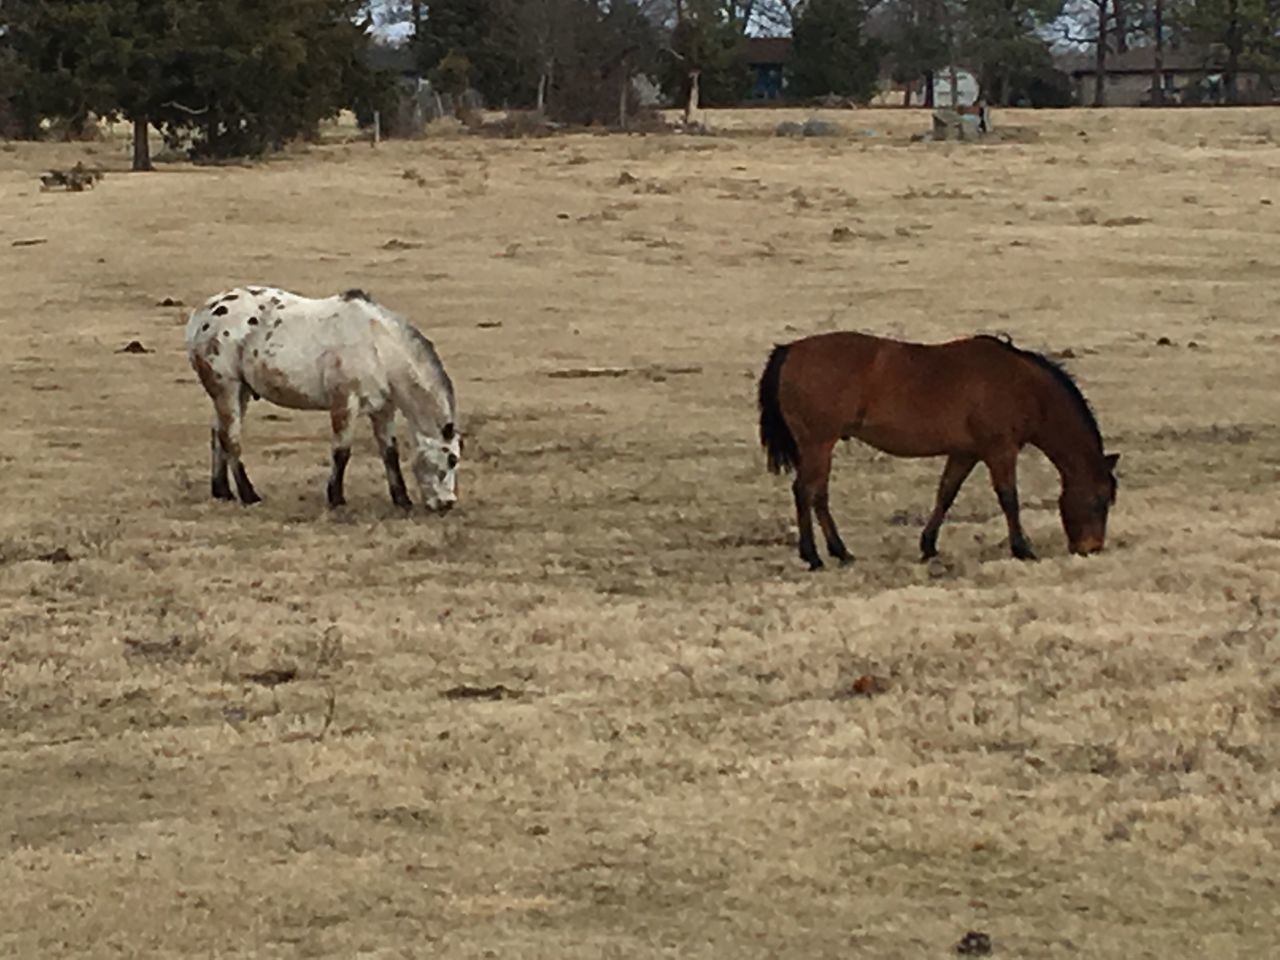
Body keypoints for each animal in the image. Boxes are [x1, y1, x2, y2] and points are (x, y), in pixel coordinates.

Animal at [180, 284, 460, 514]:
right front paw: (336, 499)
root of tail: (203, 313)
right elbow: (341, 451)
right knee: (231, 439)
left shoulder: (383, 409)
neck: (379, 346)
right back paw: (249, 496)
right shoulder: (344, 402)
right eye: (450, 460)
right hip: (226, 387)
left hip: (240, 391)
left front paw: (402, 500)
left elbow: (389, 452)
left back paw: (222, 492)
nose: (447, 504)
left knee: (219, 435)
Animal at [757, 332, 1121, 570]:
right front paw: (1022, 549)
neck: (1020, 385)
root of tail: (790, 350)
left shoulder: (965, 453)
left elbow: (945, 494)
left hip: (820, 447)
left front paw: (928, 546)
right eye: (1098, 500)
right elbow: (1008, 498)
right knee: (806, 492)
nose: (1091, 549)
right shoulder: (999, 451)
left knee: (817, 494)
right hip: (818, 444)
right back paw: (815, 556)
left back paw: (839, 552)